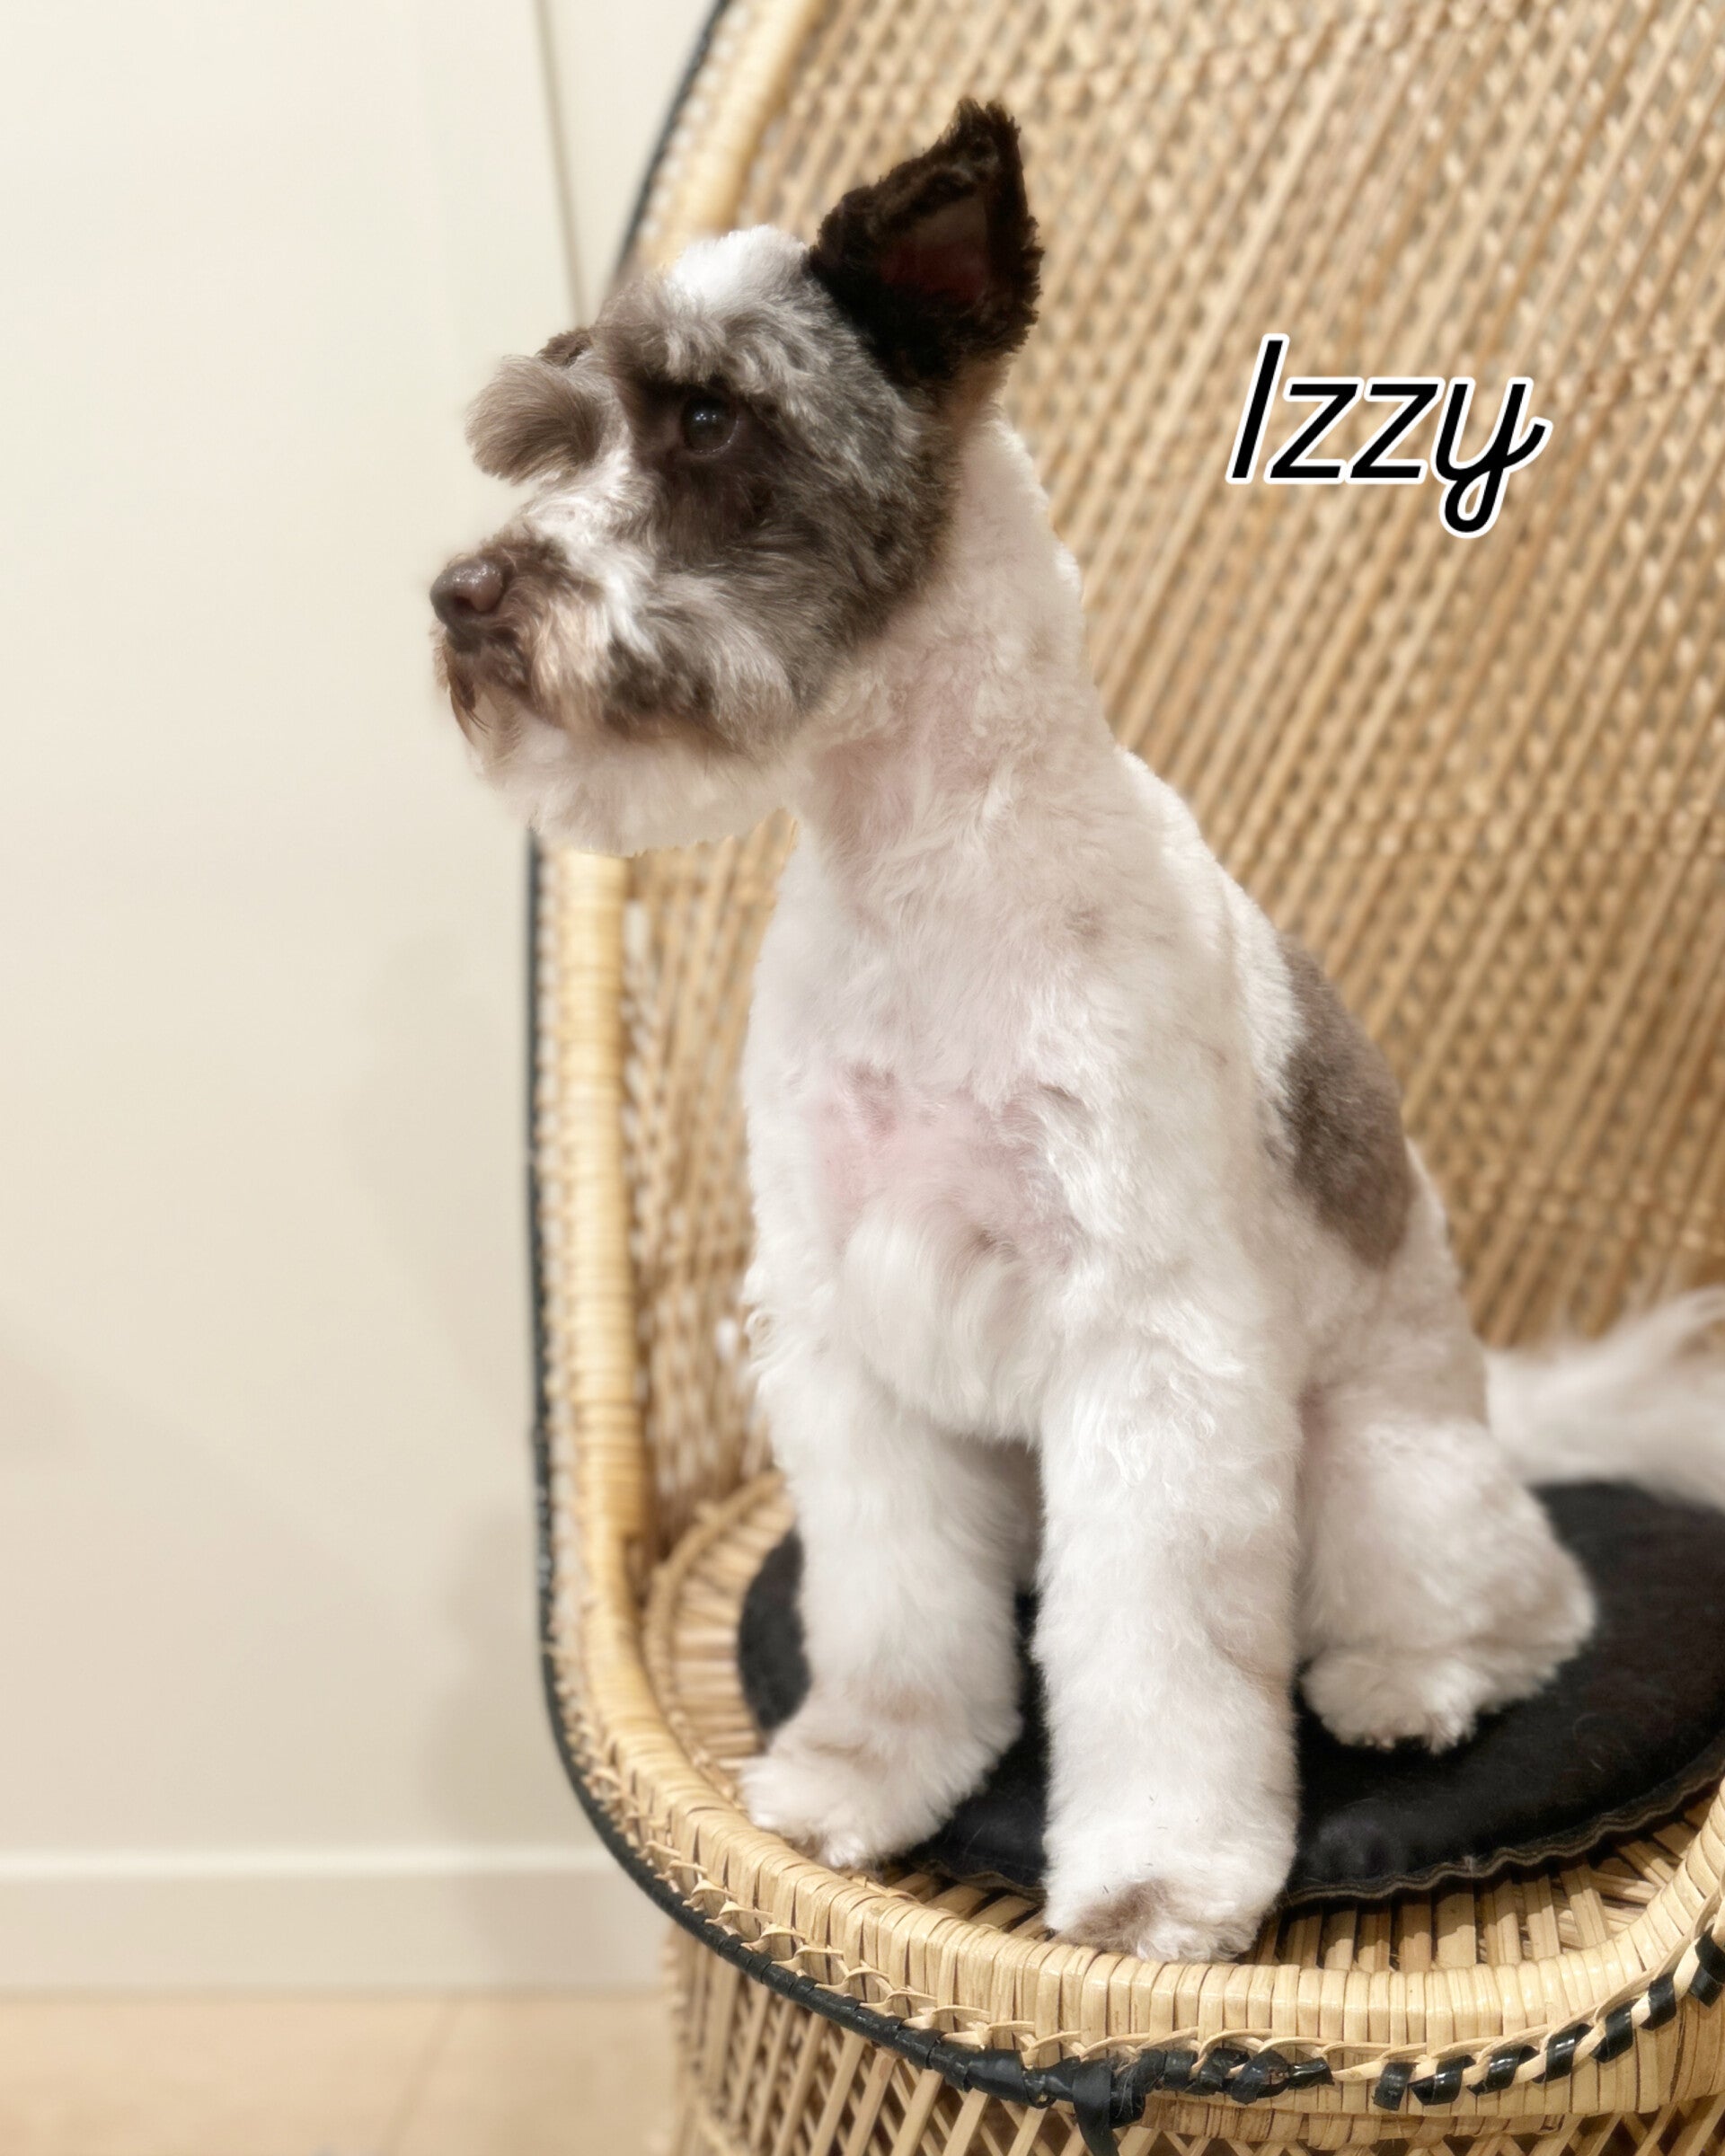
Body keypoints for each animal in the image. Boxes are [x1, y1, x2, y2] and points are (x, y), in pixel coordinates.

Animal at [432, 102, 1725, 1961]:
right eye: (556, 438)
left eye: (707, 421)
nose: (466, 596)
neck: (923, 882)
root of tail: (1497, 1414)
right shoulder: (846, 1327)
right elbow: (894, 1607)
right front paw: (869, 1770)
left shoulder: (1151, 1356)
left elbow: (1161, 1662)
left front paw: (1159, 1879)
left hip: (1383, 1475)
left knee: (1522, 1602)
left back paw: (1406, 1680)